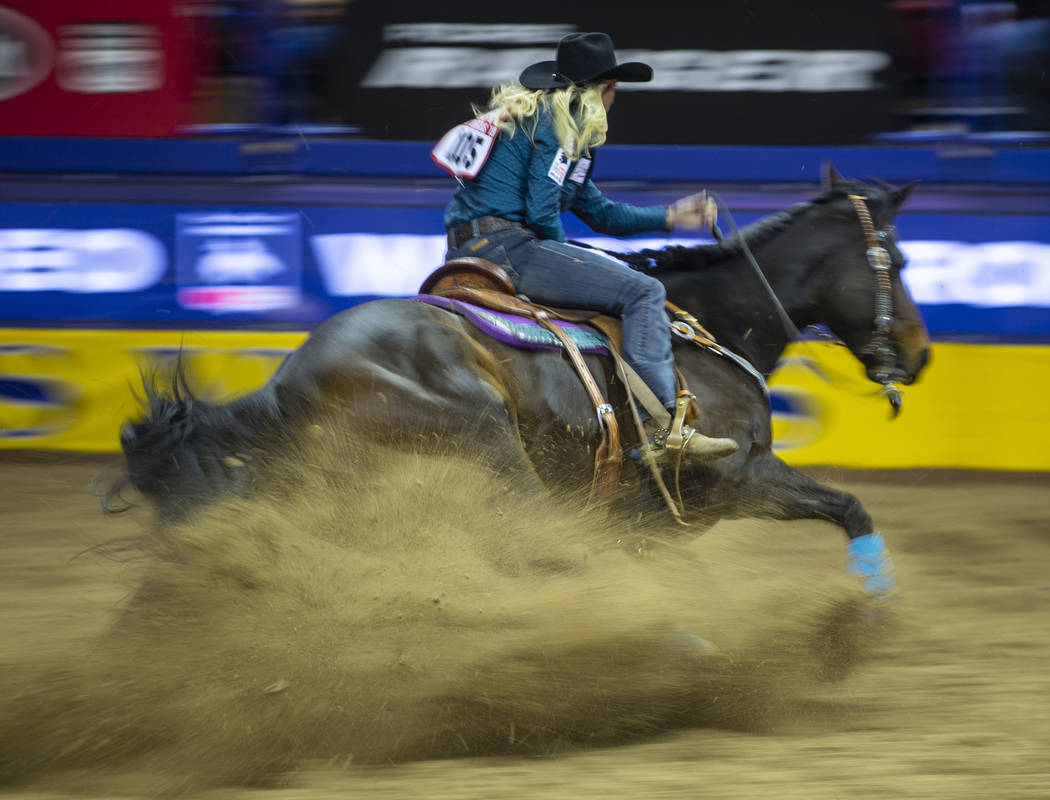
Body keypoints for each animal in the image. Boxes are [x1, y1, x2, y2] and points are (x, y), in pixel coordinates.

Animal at [119, 164, 932, 596]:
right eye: (896, 258)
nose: (919, 355)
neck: (708, 328)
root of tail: (290, 380)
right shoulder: (740, 481)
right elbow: (851, 506)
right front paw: (876, 599)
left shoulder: (646, 526)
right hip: (487, 446)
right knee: (535, 549)